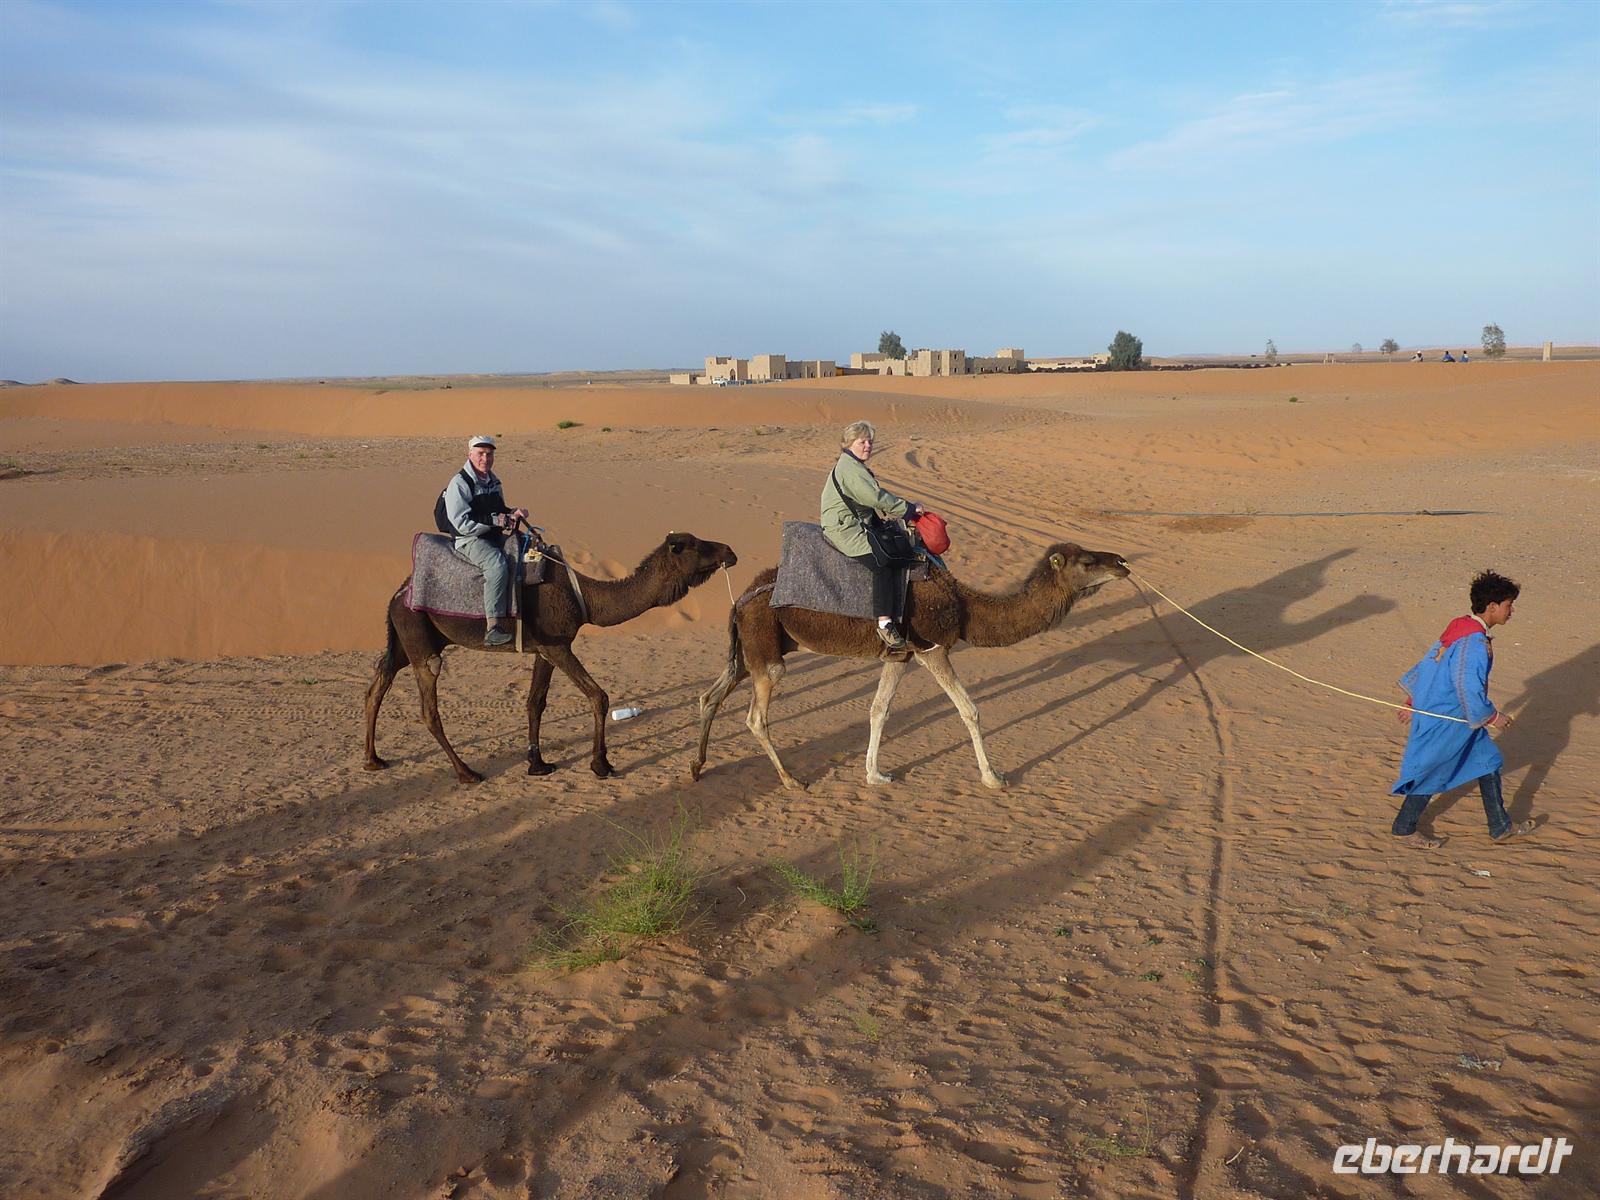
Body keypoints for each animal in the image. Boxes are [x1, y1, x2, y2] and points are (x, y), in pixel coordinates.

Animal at [365, 531, 737, 783]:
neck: (584, 596)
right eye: (695, 545)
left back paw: (373, 759)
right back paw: (466, 772)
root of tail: (397, 595)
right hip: (420, 638)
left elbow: (535, 702)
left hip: (408, 639)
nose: (731, 551)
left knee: (378, 684)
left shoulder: (544, 649)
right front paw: (601, 764)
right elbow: (598, 696)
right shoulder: (559, 645)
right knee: (429, 708)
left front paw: (537, 763)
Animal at [691, 543, 1129, 790]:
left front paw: (875, 775)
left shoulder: (900, 653)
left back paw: (697, 766)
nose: (1123, 563)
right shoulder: (931, 647)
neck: (965, 606)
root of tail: (742, 597)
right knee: (755, 716)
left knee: (710, 694)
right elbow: (969, 709)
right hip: (766, 648)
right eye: (1087, 561)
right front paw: (994, 778)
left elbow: (878, 710)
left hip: (753, 647)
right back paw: (791, 780)